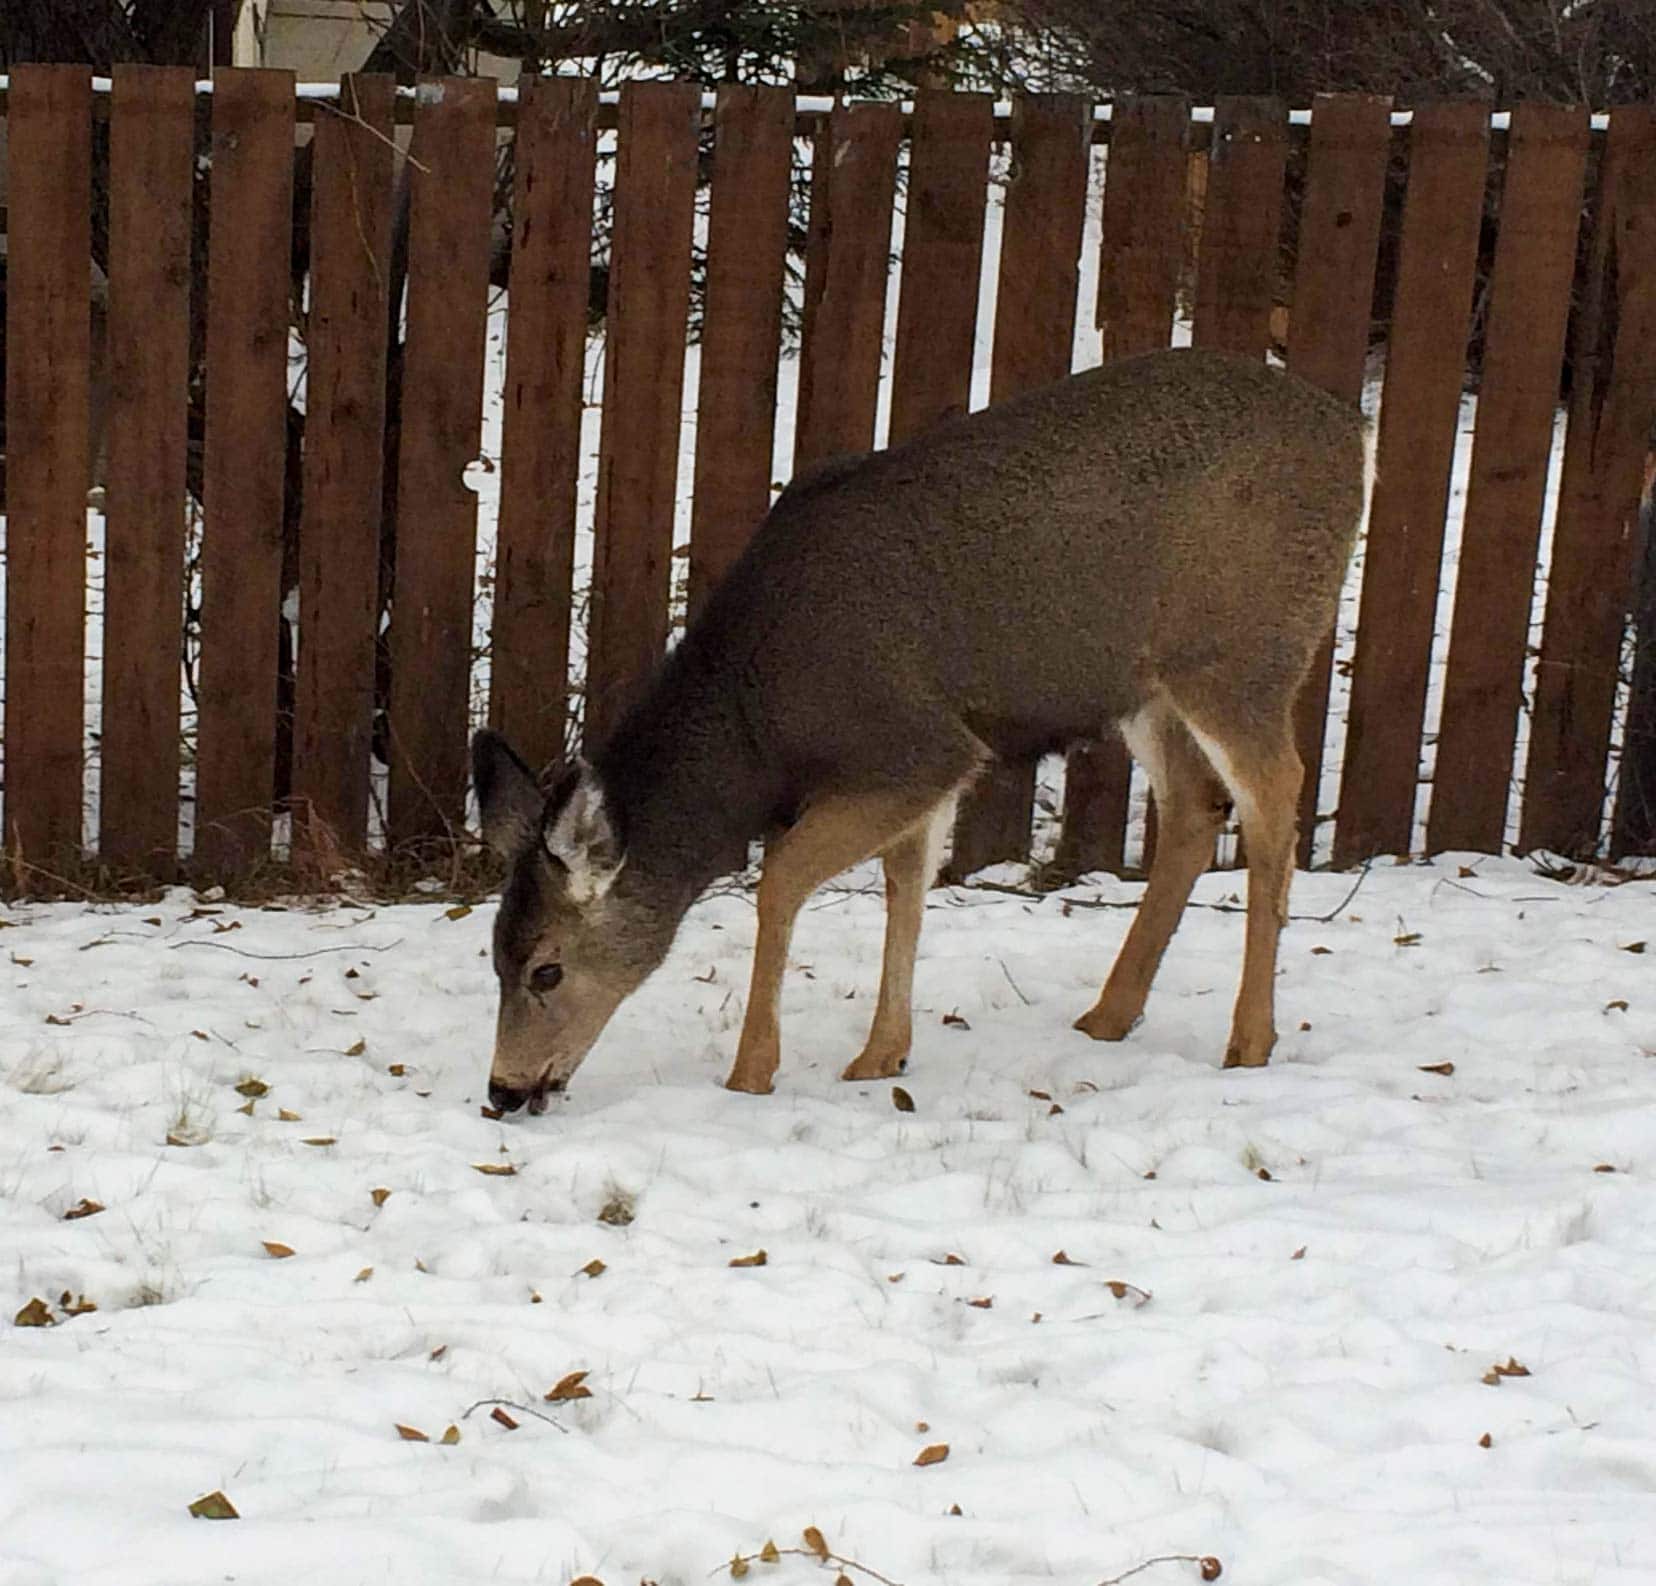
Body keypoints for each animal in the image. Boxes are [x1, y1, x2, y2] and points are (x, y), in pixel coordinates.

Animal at [473, 347, 1364, 1119]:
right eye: (493, 955)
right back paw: (1109, 1016)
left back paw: (1249, 1040)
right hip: (1146, 687)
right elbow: (907, 879)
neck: (762, 722)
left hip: (1242, 652)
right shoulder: (921, 765)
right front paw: (882, 1054)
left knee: (1276, 793)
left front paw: (752, 1073)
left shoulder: (914, 743)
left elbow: (781, 877)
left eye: (547, 970)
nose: (504, 1090)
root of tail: (1354, 433)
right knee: (1194, 806)